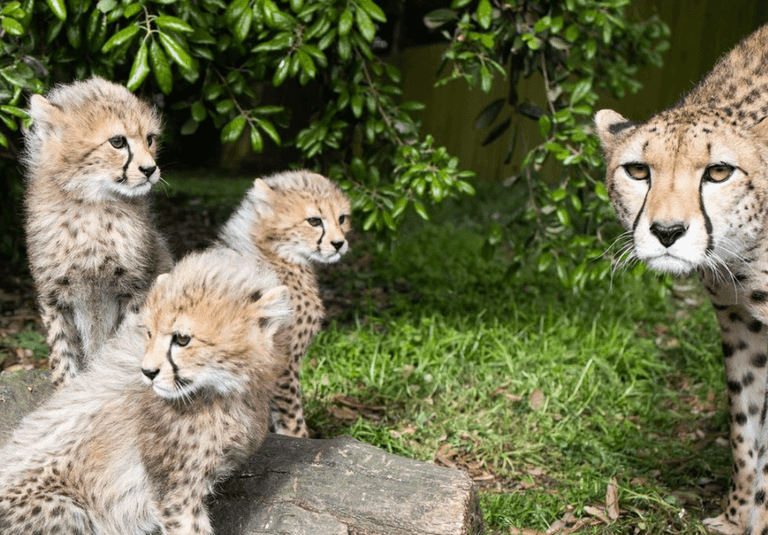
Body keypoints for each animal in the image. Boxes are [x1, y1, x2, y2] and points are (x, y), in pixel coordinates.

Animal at [0, 248, 291, 534]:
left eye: (182, 339)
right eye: (149, 333)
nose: (148, 372)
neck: (223, 391)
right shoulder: (175, 495)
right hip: (69, 509)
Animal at [23, 76, 173, 389]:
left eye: (150, 139)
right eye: (117, 141)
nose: (150, 169)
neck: (92, 207)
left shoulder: (134, 289)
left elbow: (121, 348)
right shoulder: (55, 295)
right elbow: (62, 352)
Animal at [216, 169, 351, 438]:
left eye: (342, 218)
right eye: (314, 221)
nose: (339, 244)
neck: (277, 254)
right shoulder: (282, 364)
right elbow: (293, 422)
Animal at [595, 22, 768, 535]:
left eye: (719, 171)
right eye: (637, 170)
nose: (667, 232)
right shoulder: (740, 319)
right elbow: (746, 427)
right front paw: (736, 518)